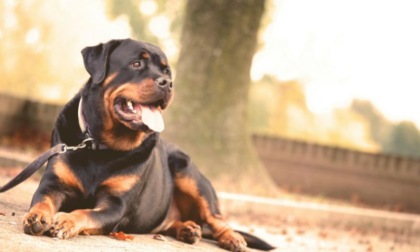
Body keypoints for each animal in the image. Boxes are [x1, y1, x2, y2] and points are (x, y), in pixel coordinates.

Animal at [21, 38, 272, 251]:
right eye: (136, 63)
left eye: (166, 71)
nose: (167, 82)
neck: (100, 145)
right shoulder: (53, 184)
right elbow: (42, 199)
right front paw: (37, 217)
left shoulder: (116, 205)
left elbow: (87, 212)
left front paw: (66, 220)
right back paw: (188, 229)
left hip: (189, 174)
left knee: (217, 219)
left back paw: (232, 238)